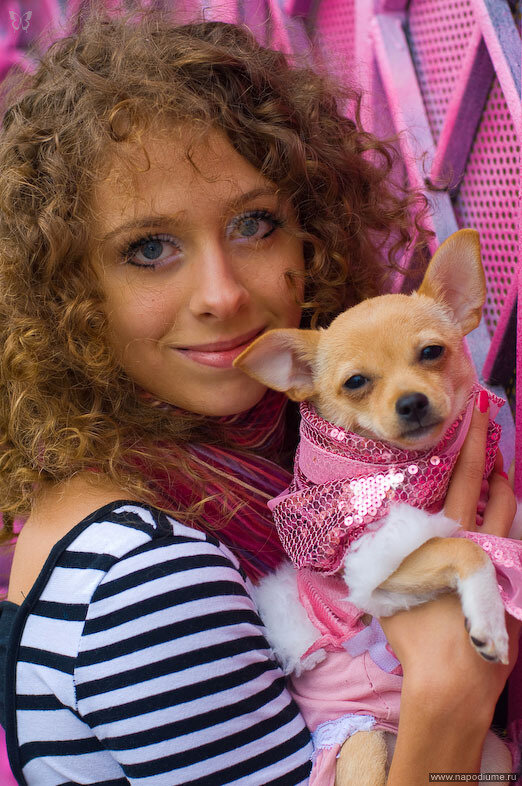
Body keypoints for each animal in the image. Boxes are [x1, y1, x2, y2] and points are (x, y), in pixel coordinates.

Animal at [233, 229, 521, 783]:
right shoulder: (378, 567)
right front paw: (490, 620)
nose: (410, 402)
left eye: (431, 352)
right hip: (361, 743)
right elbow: (469, 549)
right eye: (356, 383)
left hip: (496, 757)